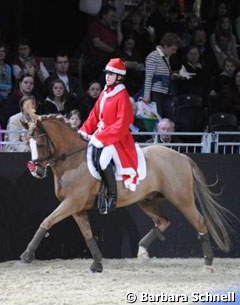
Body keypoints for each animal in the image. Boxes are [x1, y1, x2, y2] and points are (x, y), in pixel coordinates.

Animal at [20, 106, 231, 270]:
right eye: (28, 143)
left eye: (40, 143)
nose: (36, 171)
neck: (73, 159)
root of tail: (182, 156)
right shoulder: (76, 207)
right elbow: (87, 234)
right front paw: (97, 263)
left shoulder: (72, 203)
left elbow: (47, 222)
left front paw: (27, 255)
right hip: (147, 200)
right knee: (163, 222)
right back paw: (142, 250)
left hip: (182, 200)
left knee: (199, 222)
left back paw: (208, 262)